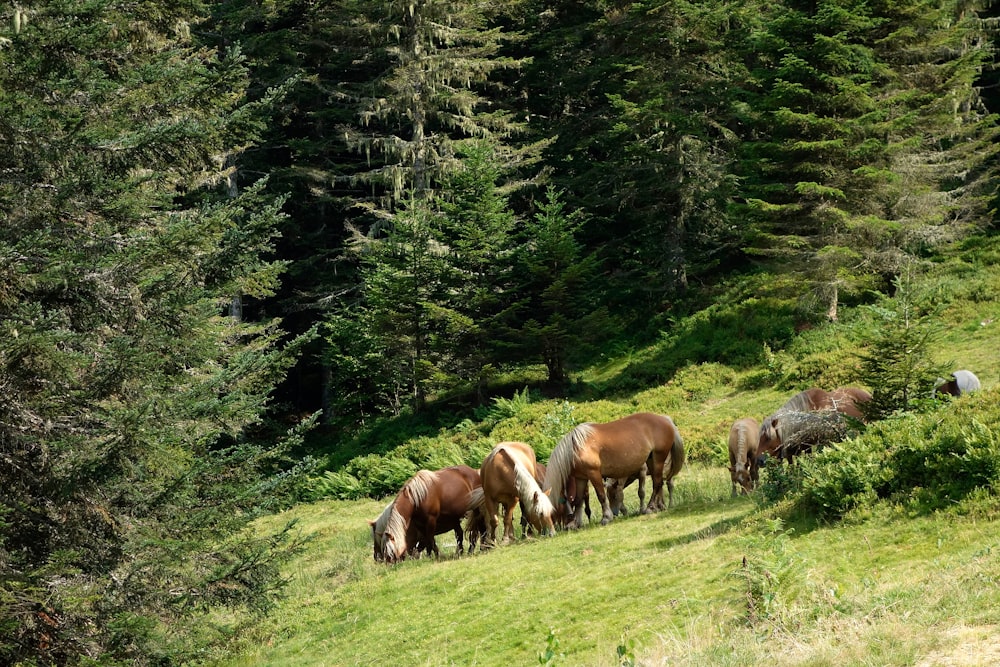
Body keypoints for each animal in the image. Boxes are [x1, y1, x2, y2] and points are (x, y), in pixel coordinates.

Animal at [540, 412, 688, 528]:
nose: (548, 532)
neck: (575, 448)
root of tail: (665, 419)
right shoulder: (581, 477)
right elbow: (578, 500)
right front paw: (575, 523)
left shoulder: (594, 474)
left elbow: (601, 496)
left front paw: (606, 517)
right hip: (651, 460)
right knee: (658, 483)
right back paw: (657, 507)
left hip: (658, 459)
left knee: (657, 483)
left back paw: (650, 508)